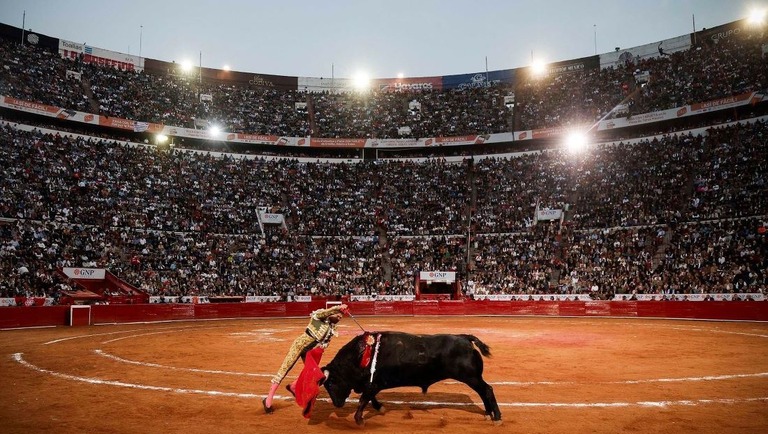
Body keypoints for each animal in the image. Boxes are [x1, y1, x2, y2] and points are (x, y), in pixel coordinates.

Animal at [320, 332, 500, 424]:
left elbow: (363, 400)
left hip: (471, 377)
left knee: (487, 390)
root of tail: (465, 338)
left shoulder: (373, 384)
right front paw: (380, 408)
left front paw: (359, 420)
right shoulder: (372, 384)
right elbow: (370, 399)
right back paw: (487, 414)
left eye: (331, 382)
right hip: (473, 378)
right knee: (483, 392)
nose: (337, 404)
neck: (360, 356)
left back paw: (497, 417)